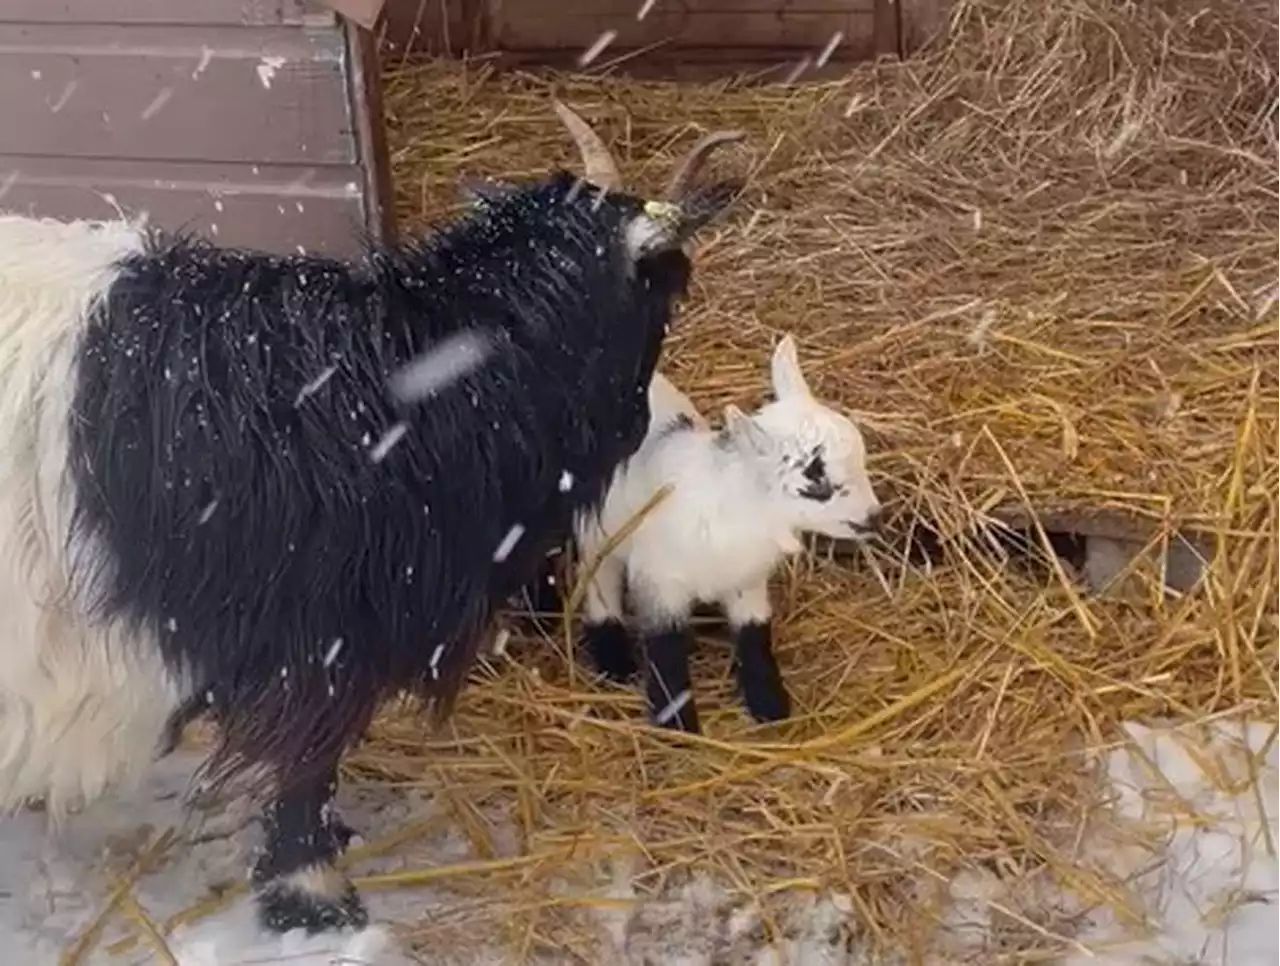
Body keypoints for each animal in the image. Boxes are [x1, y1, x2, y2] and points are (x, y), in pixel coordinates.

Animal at [576, 335, 885, 731]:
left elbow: (755, 635)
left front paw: (769, 703)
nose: (874, 517)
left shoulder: (746, 584)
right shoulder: (661, 582)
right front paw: (678, 725)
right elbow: (664, 648)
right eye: (817, 486)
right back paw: (614, 661)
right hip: (597, 531)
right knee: (599, 582)